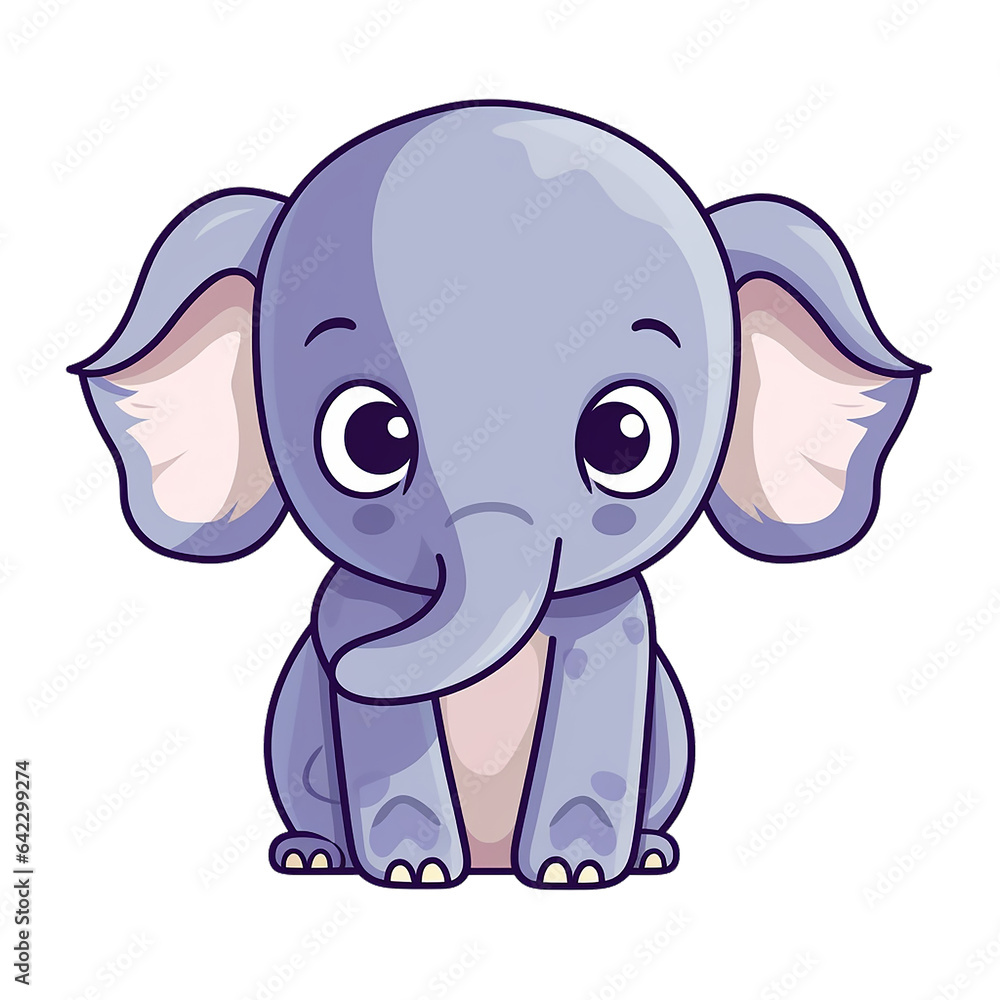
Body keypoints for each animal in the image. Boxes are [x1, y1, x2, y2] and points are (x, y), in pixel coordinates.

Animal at [69, 100, 927, 888]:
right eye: (369, 438)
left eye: (626, 436)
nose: (340, 664)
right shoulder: (354, 604)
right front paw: (413, 871)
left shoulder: (616, 621)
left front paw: (573, 872)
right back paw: (314, 856)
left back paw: (649, 854)